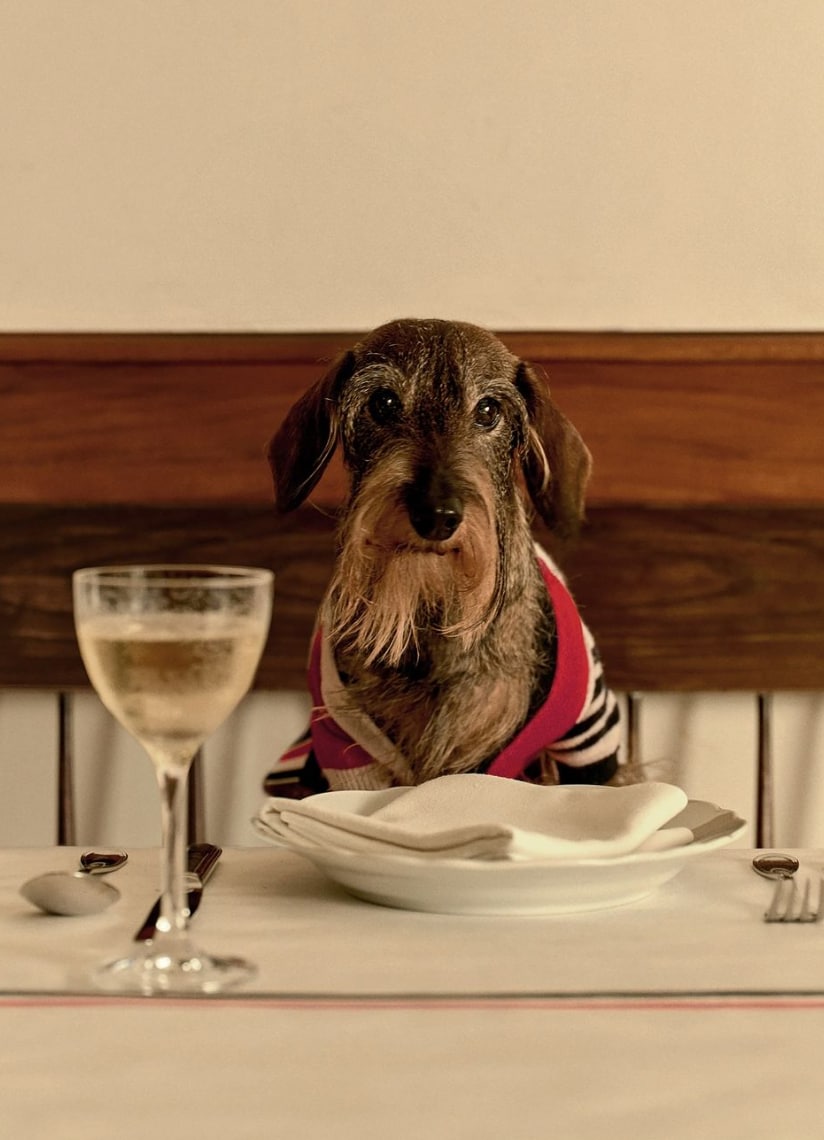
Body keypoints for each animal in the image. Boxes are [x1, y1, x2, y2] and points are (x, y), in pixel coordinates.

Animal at [267, 314, 619, 793]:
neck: (431, 606)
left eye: (488, 410)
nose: (436, 515)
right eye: (384, 402)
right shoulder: (346, 749)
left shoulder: (578, 742)